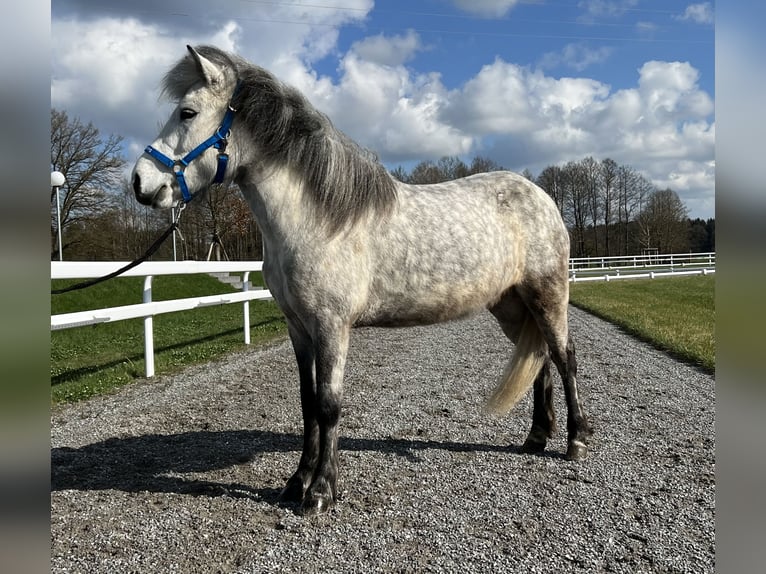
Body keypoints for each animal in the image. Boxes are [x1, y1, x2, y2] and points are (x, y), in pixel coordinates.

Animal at [132, 45, 592, 516]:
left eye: (187, 113)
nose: (141, 183)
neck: (318, 219)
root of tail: (541, 197)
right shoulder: (299, 328)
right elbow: (308, 404)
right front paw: (296, 482)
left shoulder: (332, 327)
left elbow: (330, 405)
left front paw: (320, 491)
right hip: (511, 305)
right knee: (537, 360)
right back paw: (536, 437)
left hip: (548, 295)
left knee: (564, 357)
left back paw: (575, 440)